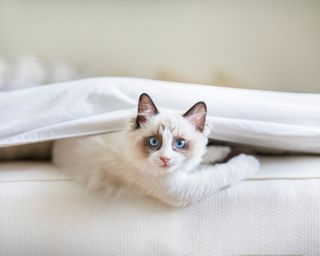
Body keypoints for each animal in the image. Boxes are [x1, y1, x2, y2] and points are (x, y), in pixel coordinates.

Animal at [52, 93, 258, 207]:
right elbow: (224, 172)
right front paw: (251, 160)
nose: (165, 159)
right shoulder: (180, 189)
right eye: (153, 142)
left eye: (179, 144)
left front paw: (224, 150)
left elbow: (205, 155)